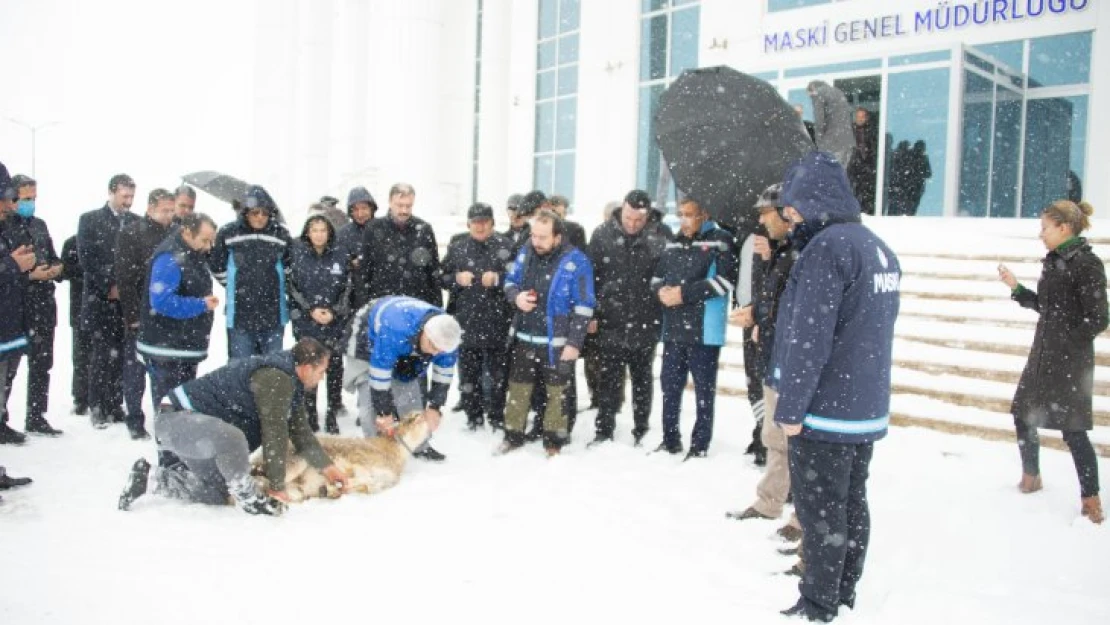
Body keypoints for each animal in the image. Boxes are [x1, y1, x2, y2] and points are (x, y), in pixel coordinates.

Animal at [250, 410, 428, 503]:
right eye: (412, 417)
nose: (425, 413)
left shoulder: (384, 480)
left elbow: (370, 485)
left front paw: (333, 489)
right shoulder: (358, 460)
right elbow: (364, 477)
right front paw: (335, 486)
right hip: (295, 462)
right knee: (265, 483)